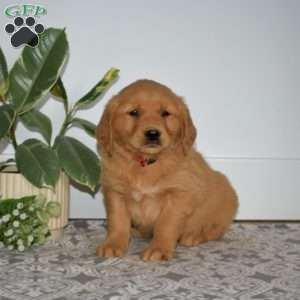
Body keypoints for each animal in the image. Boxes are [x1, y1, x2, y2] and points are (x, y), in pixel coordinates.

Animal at [95, 79, 238, 260]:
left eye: (165, 113)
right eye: (134, 112)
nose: (153, 133)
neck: (146, 162)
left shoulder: (178, 195)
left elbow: (166, 224)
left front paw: (159, 249)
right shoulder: (114, 191)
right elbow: (117, 221)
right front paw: (113, 244)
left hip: (224, 202)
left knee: (215, 230)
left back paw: (194, 236)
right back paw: (134, 232)